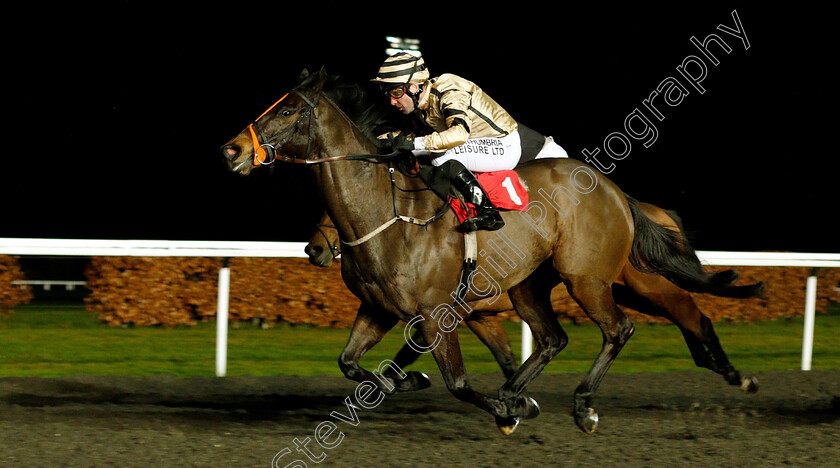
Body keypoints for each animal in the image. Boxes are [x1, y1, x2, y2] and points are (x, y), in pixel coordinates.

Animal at [220, 69, 764, 436]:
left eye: (287, 110)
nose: (232, 150)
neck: (387, 217)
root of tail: (615, 191)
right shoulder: (383, 308)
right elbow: (351, 364)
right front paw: (415, 381)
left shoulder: (439, 313)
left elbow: (458, 383)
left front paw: (506, 409)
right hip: (535, 287)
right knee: (554, 338)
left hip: (591, 279)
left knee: (632, 327)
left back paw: (587, 403)